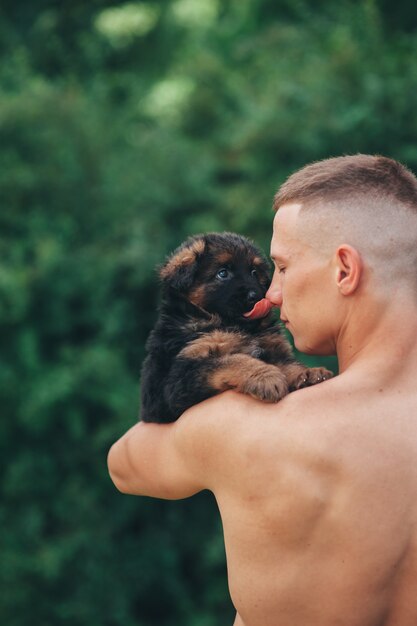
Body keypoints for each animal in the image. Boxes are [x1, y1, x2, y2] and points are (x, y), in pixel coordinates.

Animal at [140, 232, 332, 422]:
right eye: (223, 273)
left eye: (254, 272)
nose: (255, 296)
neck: (237, 326)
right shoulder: (179, 378)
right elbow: (233, 360)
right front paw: (266, 377)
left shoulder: (274, 350)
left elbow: (288, 365)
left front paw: (308, 374)